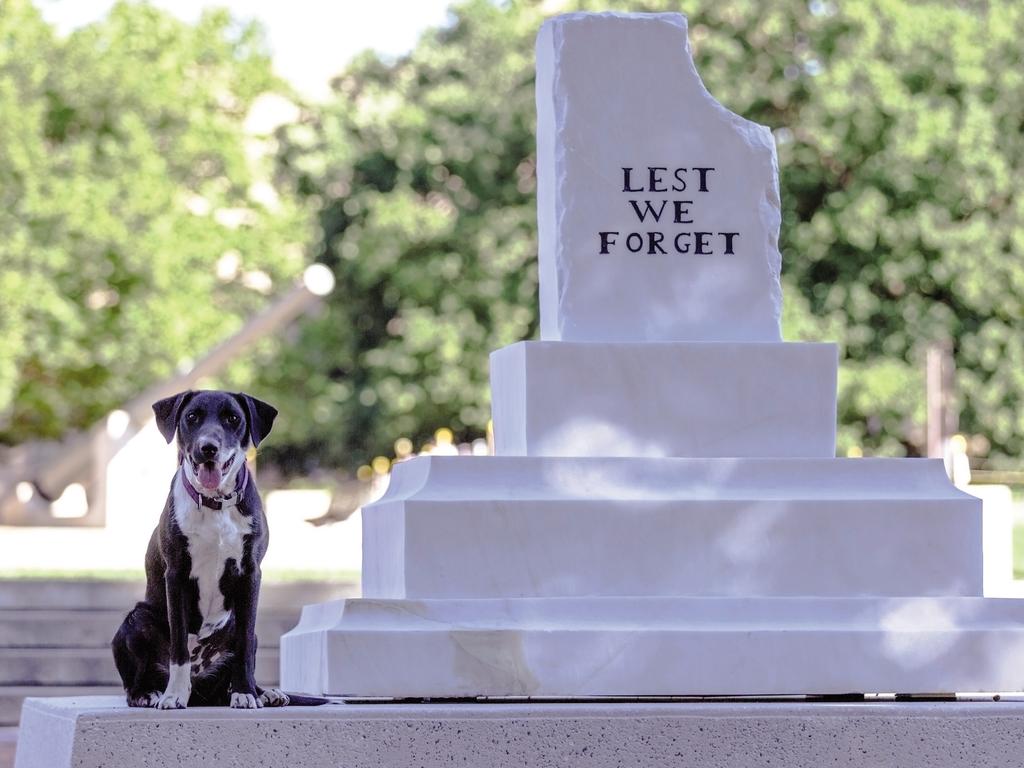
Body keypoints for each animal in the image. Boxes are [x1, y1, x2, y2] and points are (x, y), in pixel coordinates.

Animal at [111, 391, 321, 708]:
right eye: (192, 417)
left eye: (233, 418)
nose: (208, 448)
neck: (215, 504)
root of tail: (202, 692)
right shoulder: (176, 575)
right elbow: (179, 647)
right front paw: (174, 694)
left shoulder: (250, 574)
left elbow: (244, 646)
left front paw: (245, 693)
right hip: (137, 619)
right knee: (136, 680)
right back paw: (148, 693)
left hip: (244, 633)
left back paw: (262, 692)